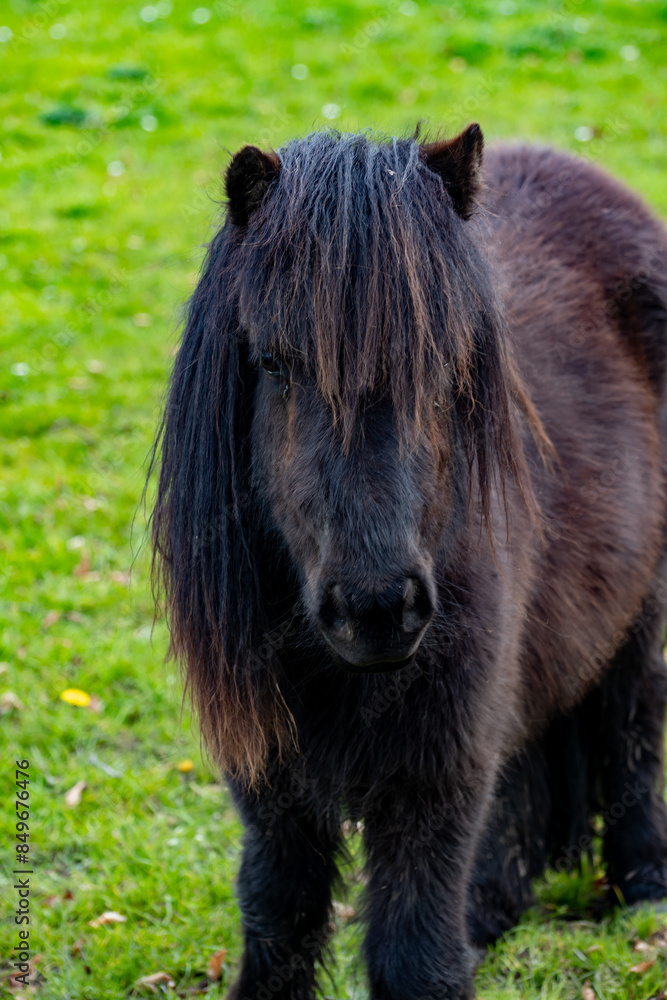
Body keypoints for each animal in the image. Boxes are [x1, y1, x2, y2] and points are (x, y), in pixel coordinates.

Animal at [149, 124, 667, 1000]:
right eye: (274, 363)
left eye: (445, 360)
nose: (377, 609)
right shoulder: (273, 792)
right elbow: (280, 919)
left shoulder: (431, 786)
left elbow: (412, 955)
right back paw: (491, 914)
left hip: (642, 617)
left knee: (632, 736)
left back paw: (644, 893)